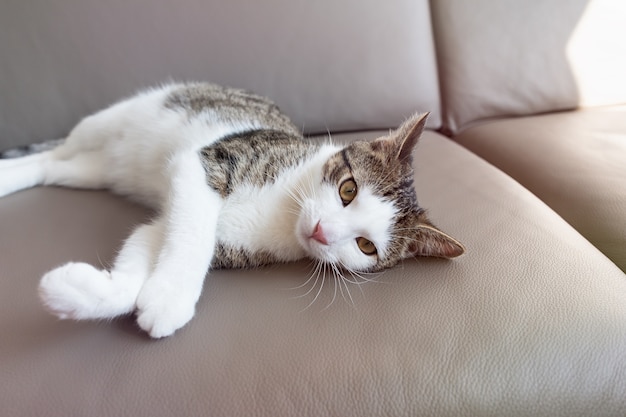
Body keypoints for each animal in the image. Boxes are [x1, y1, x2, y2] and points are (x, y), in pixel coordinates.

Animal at [0, 82, 460, 338]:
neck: (285, 211)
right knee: (62, 145)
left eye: (366, 246)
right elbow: (191, 233)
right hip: (117, 117)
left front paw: (88, 292)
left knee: (54, 166)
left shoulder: (194, 231)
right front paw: (171, 298)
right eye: (348, 189)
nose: (322, 231)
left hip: (95, 171)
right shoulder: (209, 162)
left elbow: (150, 239)